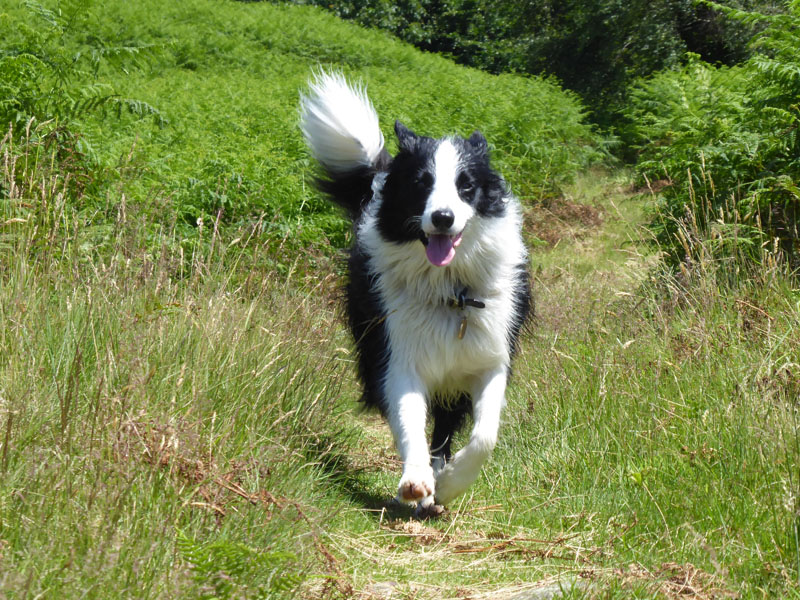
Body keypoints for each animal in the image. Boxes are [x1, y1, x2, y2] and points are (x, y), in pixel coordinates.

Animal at [300, 74, 532, 516]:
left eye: (466, 186)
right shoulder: (397, 355)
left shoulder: (490, 358)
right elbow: (408, 417)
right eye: (421, 183)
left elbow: (484, 436)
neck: (450, 291)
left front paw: (451, 483)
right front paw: (417, 481)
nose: (442, 217)